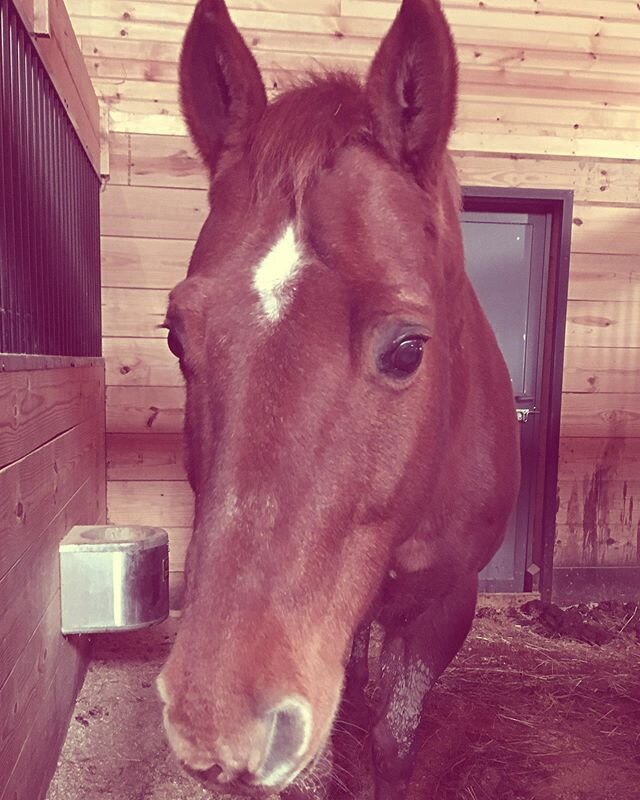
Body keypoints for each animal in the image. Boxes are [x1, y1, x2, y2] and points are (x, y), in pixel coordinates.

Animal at [155, 3, 520, 796]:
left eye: (409, 349)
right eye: (176, 337)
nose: (218, 722)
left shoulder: (448, 601)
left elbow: (392, 737)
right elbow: (349, 720)